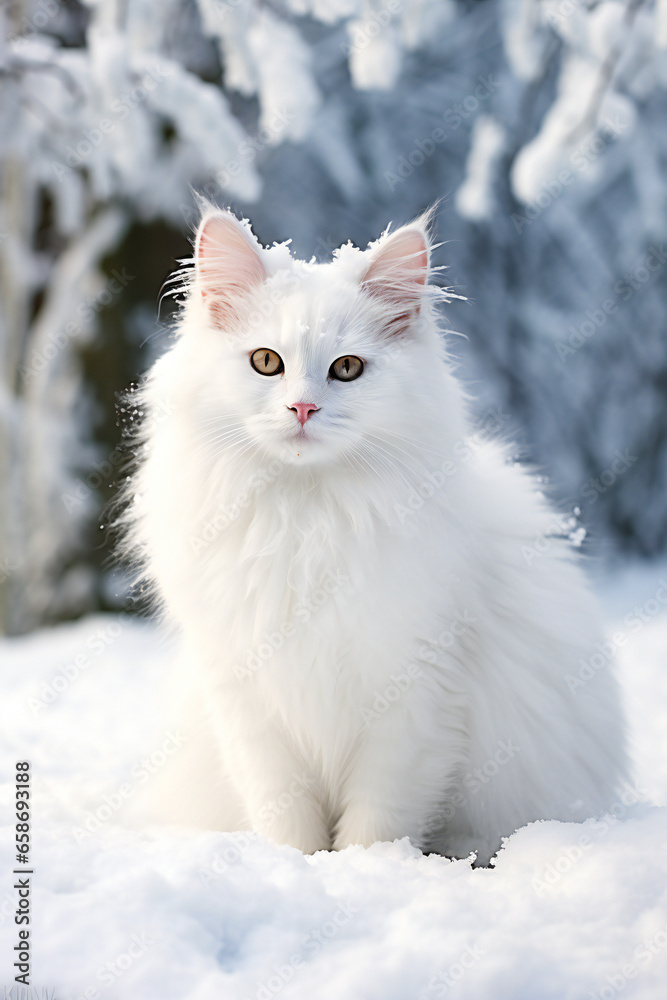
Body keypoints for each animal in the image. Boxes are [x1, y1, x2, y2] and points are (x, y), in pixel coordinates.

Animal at [122, 207, 628, 864]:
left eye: (347, 369)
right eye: (266, 362)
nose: (303, 409)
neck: (306, 522)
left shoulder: (414, 700)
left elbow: (378, 821)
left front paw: (366, 871)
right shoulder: (249, 701)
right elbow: (286, 817)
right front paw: (295, 868)